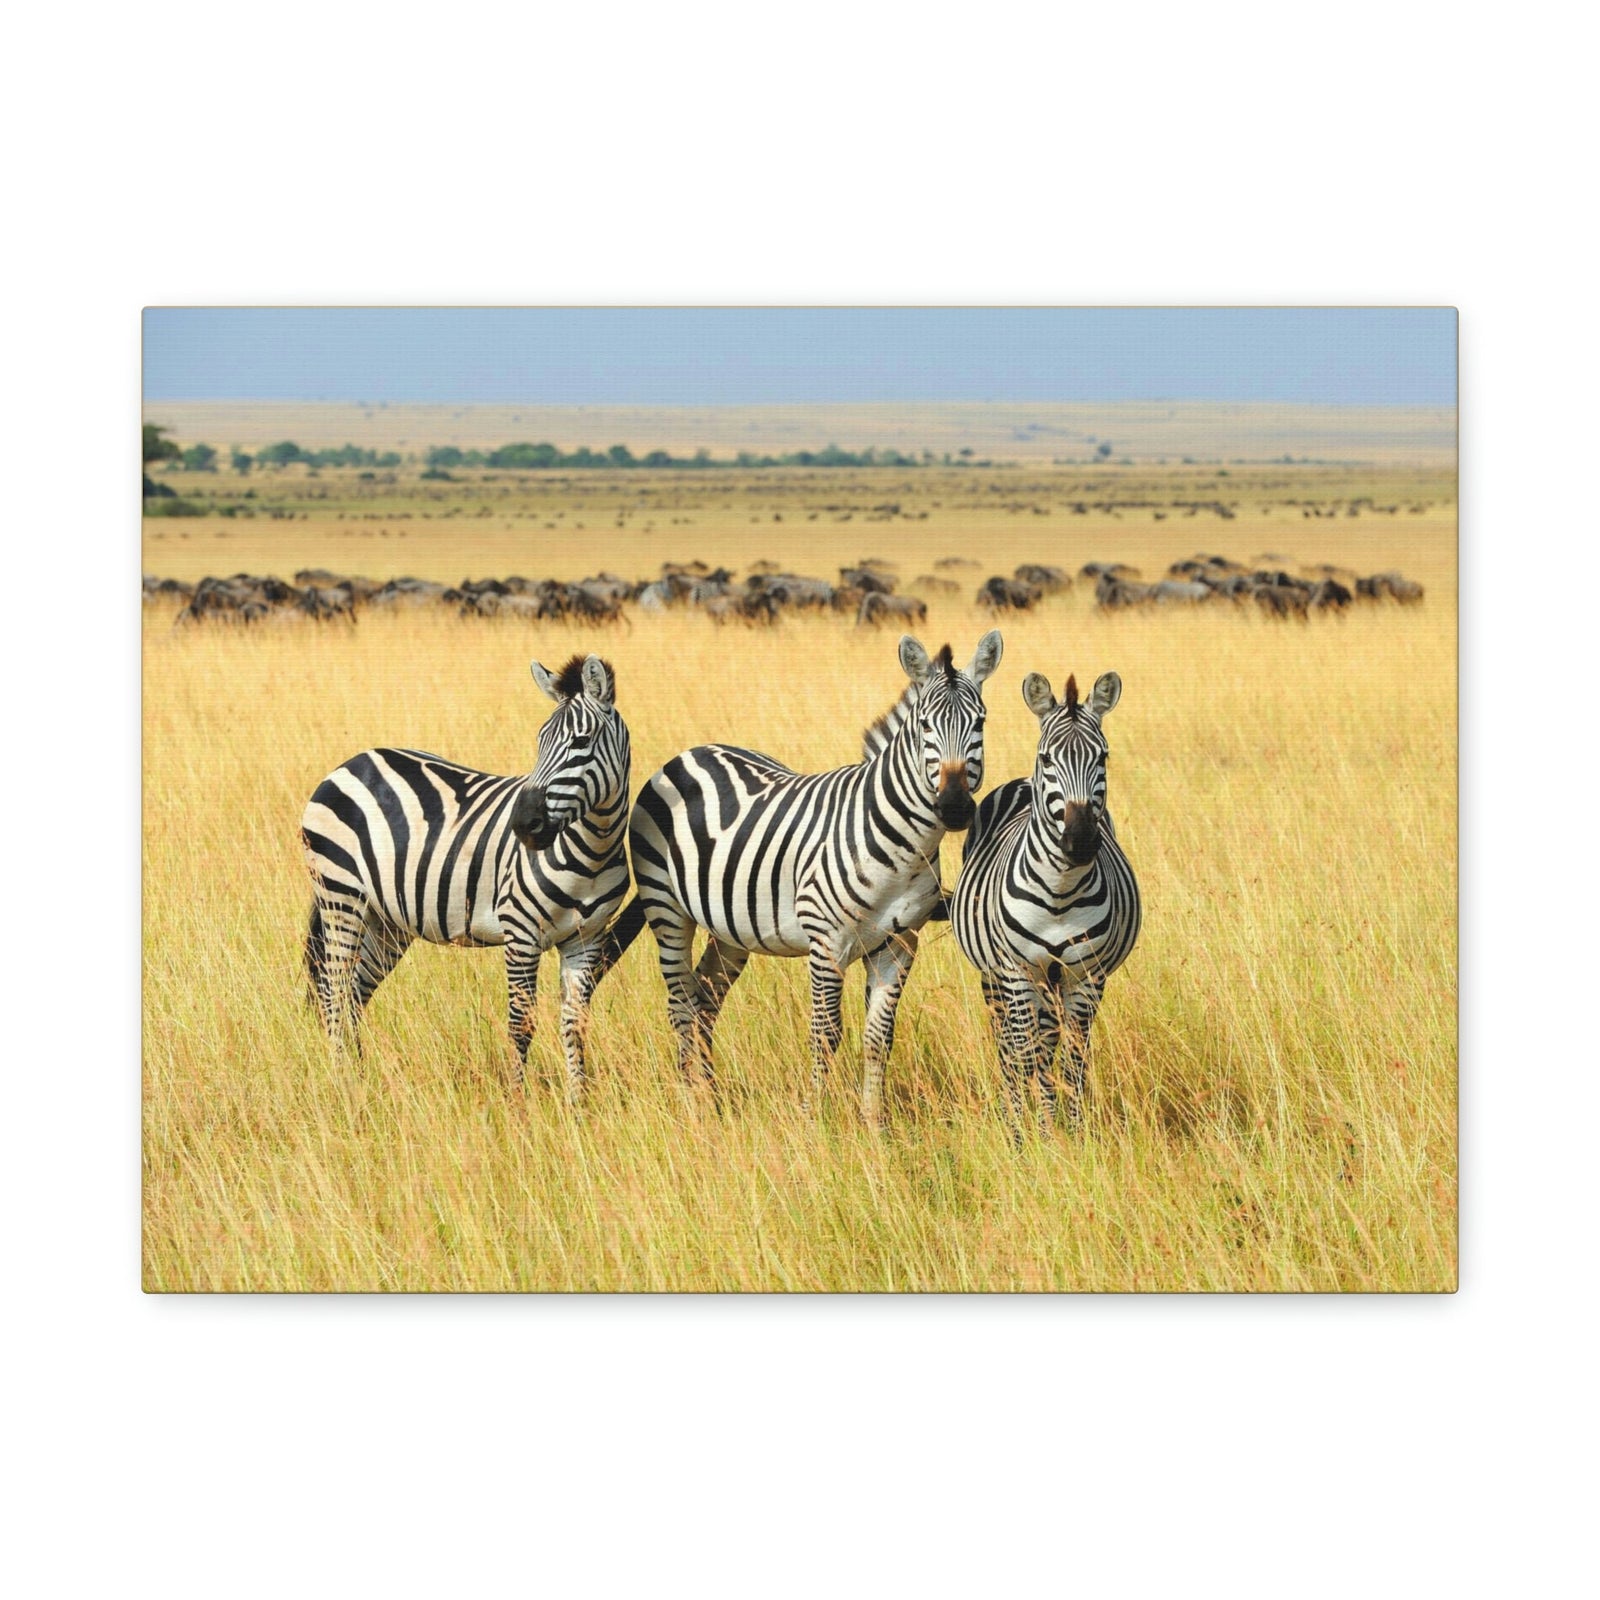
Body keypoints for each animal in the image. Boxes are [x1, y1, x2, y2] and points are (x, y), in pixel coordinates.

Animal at [299, 653, 634, 1100]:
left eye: (581, 742)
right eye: (540, 741)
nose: (524, 824)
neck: (592, 852)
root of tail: (351, 763)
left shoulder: (586, 939)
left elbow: (574, 1025)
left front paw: (578, 1104)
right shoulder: (521, 933)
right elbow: (521, 1024)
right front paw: (517, 1103)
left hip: (386, 921)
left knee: (354, 995)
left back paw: (360, 1080)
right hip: (341, 897)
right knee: (333, 992)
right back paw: (341, 1084)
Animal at [624, 631, 1003, 1126]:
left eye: (980, 722)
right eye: (924, 725)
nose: (955, 806)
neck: (902, 845)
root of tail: (690, 752)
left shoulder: (899, 945)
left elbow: (879, 1038)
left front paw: (873, 1125)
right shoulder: (826, 943)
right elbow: (826, 1034)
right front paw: (815, 1121)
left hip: (730, 928)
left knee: (705, 998)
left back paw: (711, 1098)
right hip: (667, 909)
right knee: (681, 1004)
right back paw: (692, 1106)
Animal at [952, 669, 1141, 1135]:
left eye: (1103, 757)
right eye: (1048, 759)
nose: (1081, 841)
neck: (1060, 890)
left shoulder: (1086, 976)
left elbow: (1072, 1059)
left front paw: (1070, 1132)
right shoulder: (1017, 971)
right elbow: (1025, 1055)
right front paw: (1027, 1135)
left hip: (1054, 982)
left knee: (1050, 1042)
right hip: (996, 977)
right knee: (1008, 1042)